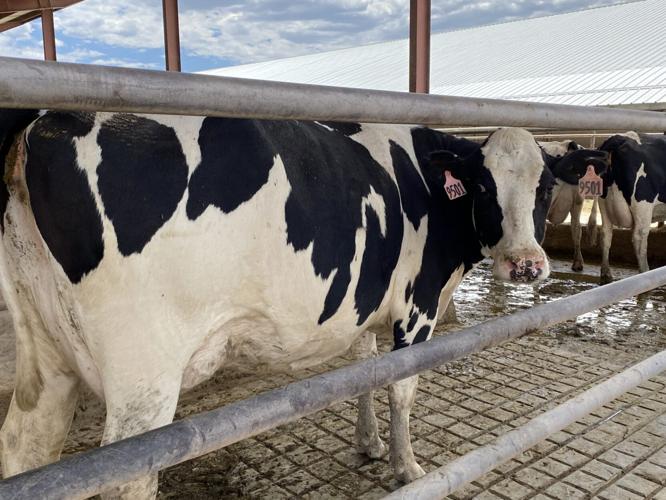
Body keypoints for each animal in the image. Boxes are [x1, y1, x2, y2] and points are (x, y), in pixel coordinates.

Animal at [0, 109, 566, 498]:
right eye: (484, 185)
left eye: (545, 188)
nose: (526, 265)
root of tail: (49, 120)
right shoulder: (417, 305)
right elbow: (401, 388)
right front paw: (406, 467)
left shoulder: (365, 306)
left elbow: (365, 370)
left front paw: (369, 444)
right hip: (143, 376)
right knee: (126, 478)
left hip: (45, 352)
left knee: (24, 446)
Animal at [597, 132, 666, 283]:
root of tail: (617, 139)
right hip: (643, 203)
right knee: (639, 237)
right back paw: (645, 273)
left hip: (603, 203)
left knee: (606, 234)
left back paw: (606, 274)